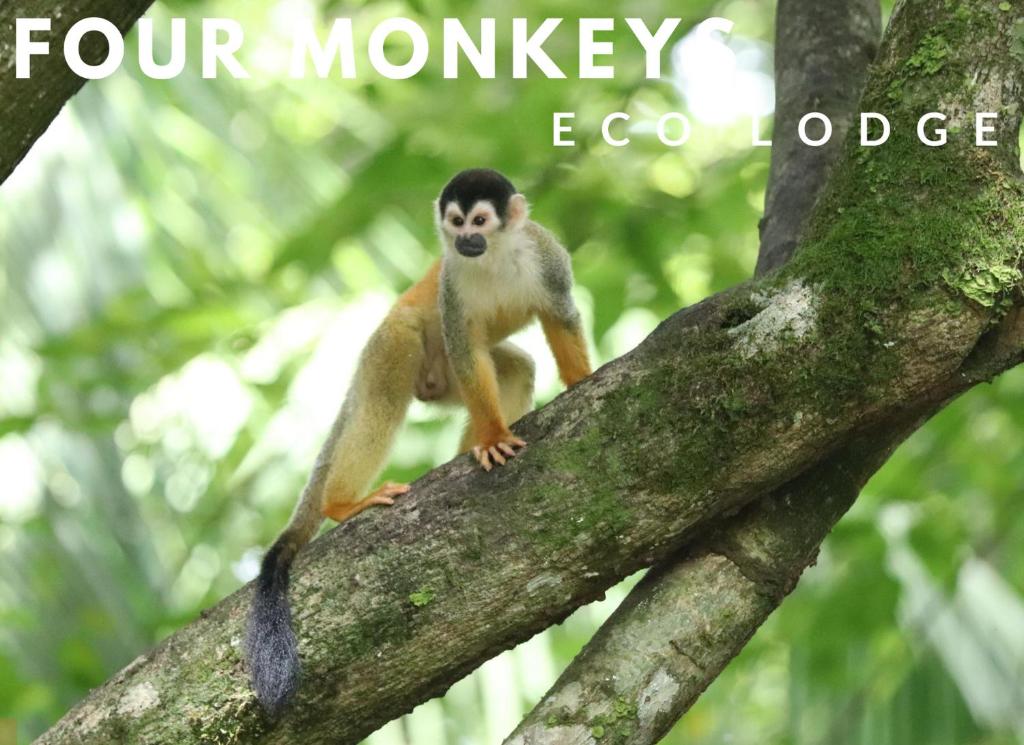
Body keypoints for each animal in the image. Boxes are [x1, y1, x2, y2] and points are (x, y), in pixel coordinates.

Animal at [244, 167, 593, 708]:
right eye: (455, 222)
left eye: (479, 221)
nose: (465, 240)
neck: (493, 256)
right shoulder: (451, 285)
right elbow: (467, 348)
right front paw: (494, 437)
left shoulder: (547, 256)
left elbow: (560, 315)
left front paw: (579, 381)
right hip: (390, 345)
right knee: (391, 381)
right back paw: (343, 503)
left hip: (438, 378)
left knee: (515, 367)